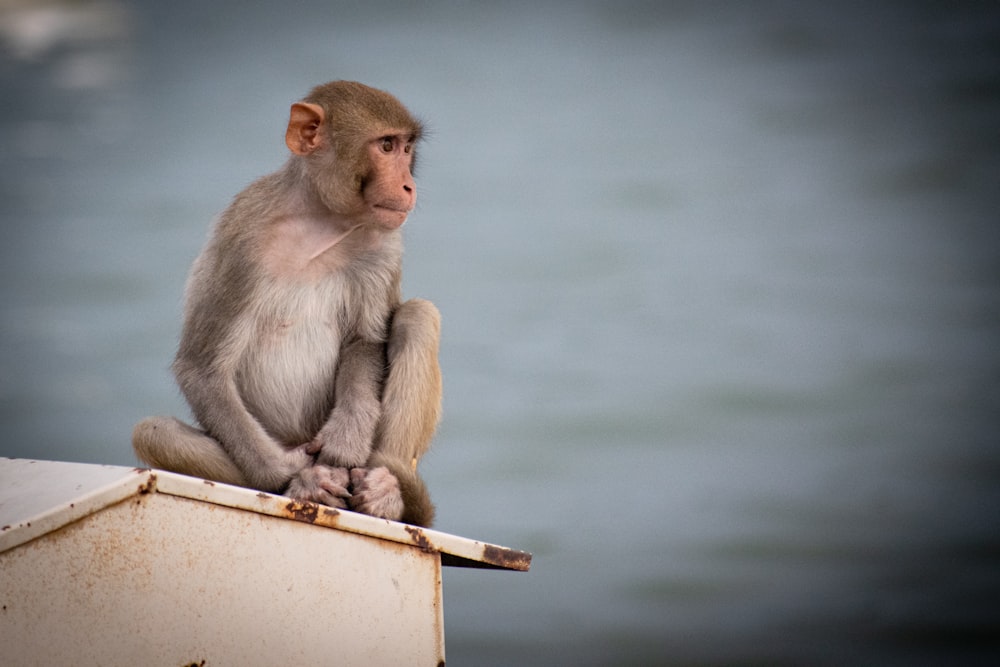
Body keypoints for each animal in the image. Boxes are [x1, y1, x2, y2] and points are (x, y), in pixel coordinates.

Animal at [133, 81, 442, 528]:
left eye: (406, 148)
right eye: (386, 146)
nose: (407, 186)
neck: (319, 221)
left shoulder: (383, 246)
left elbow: (364, 341)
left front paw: (346, 437)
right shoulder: (241, 239)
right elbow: (202, 369)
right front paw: (300, 477)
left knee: (418, 317)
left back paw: (388, 492)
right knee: (154, 431)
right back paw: (304, 479)